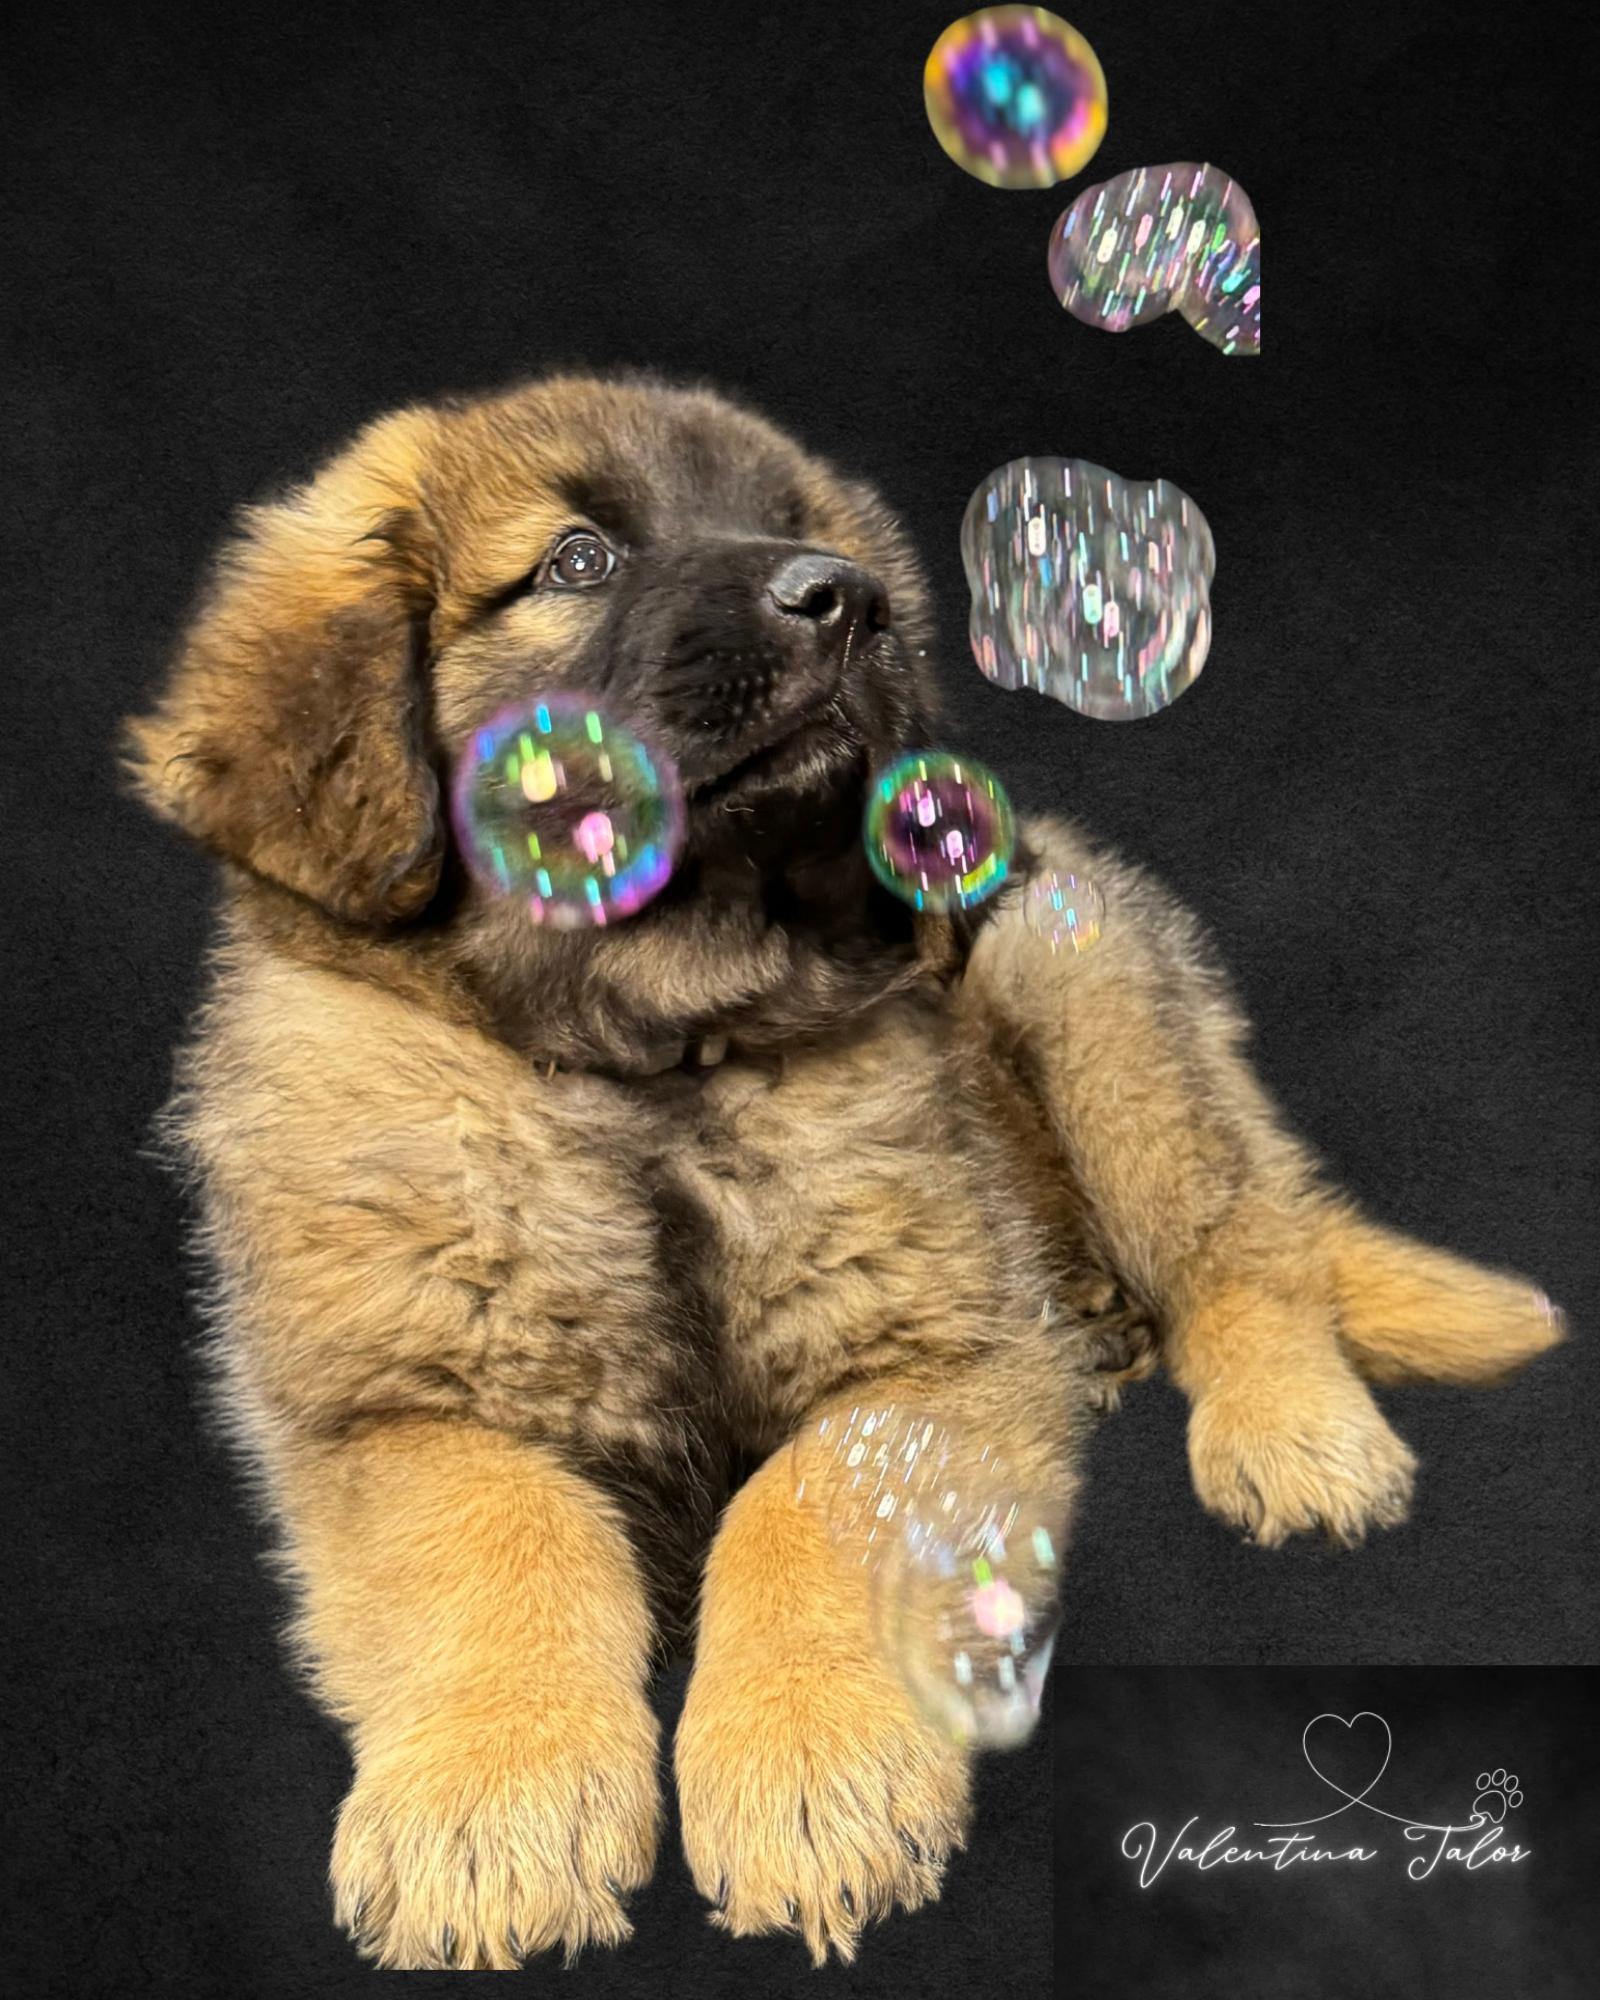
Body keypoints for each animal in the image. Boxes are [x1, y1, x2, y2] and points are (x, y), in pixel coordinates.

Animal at [124, 372, 1562, 1969]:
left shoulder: (931, 1346)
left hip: (1078, 978)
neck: (651, 1062)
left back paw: (1293, 1433)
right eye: (575, 560)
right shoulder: (394, 1401)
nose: (846, 598)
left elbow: (800, 1509)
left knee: (1243, 1248)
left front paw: (809, 1773)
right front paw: (492, 1799)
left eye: (794, 527)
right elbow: (501, 1539)